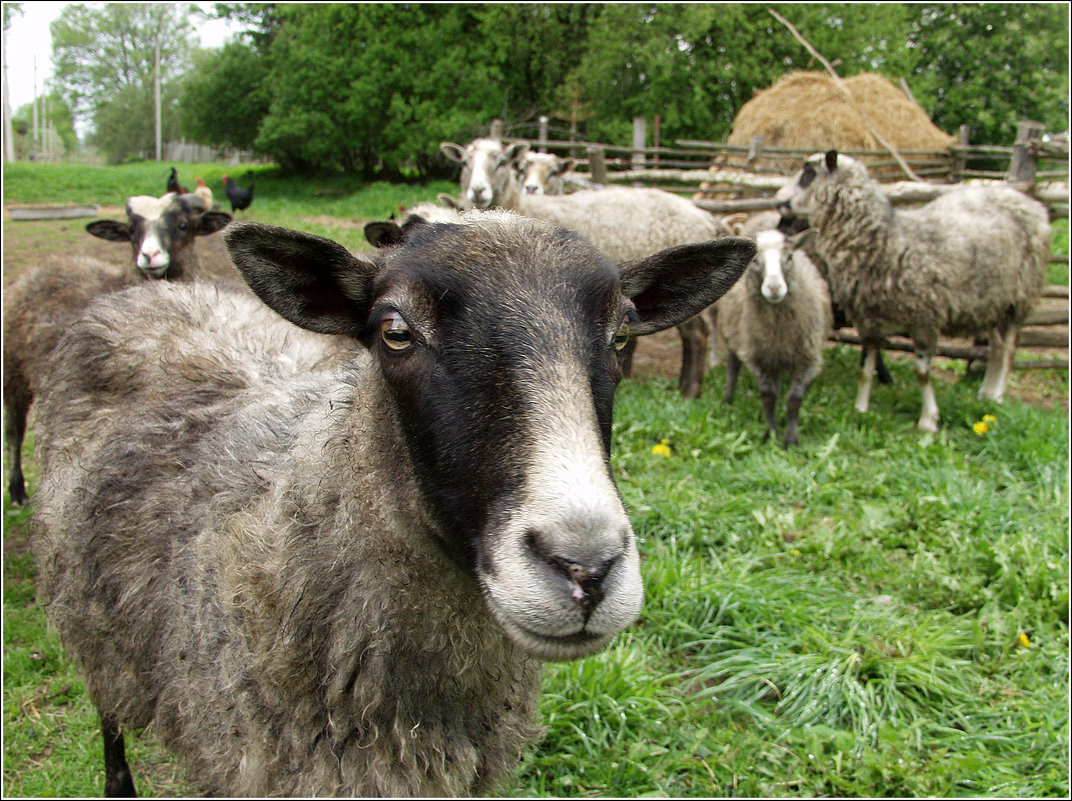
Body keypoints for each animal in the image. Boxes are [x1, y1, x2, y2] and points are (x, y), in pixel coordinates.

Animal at [2, 191, 232, 503]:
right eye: (132, 230)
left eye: (183, 225)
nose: (150, 256)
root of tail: (47, 263)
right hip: (12, 372)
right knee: (14, 431)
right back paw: (16, 488)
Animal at [33, 210, 754, 797]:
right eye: (395, 331)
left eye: (623, 335)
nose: (587, 568)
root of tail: (153, 292)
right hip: (88, 614)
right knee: (109, 716)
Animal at [716, 228, 831, 448]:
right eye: (755, 261)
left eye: (789, 257)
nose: (774, 288)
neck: (779, 330)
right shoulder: (755, 357)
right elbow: (768, 395)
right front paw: (771, 433)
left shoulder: (809, 358)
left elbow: (794, 399)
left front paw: (791, 439)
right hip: (733, 338)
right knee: (732, 369)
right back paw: (727, 399)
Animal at [776, 153, 1050, 435]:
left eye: (808, 174)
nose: (777, 199)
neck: (884, 240)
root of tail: (1030, 202)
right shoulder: (869, 321)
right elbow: (866, 369)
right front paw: (860, 409)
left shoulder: (924, 319)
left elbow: (921, 373)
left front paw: (928, 420)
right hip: (994, 303)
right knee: (996, 347)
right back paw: (985, 393)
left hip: (1019, 297)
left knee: (1008, 349)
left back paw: (997, 395)